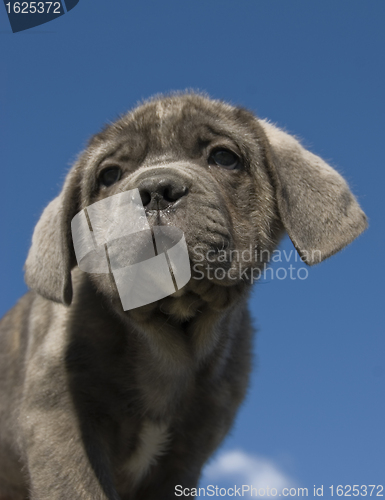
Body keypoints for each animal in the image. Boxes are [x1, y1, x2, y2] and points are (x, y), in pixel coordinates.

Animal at [0, 93, 366, 496]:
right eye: (109, 176)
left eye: (224, 157)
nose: (155, 190)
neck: (170, 342)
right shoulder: (61, 427)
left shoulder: (185, 459)